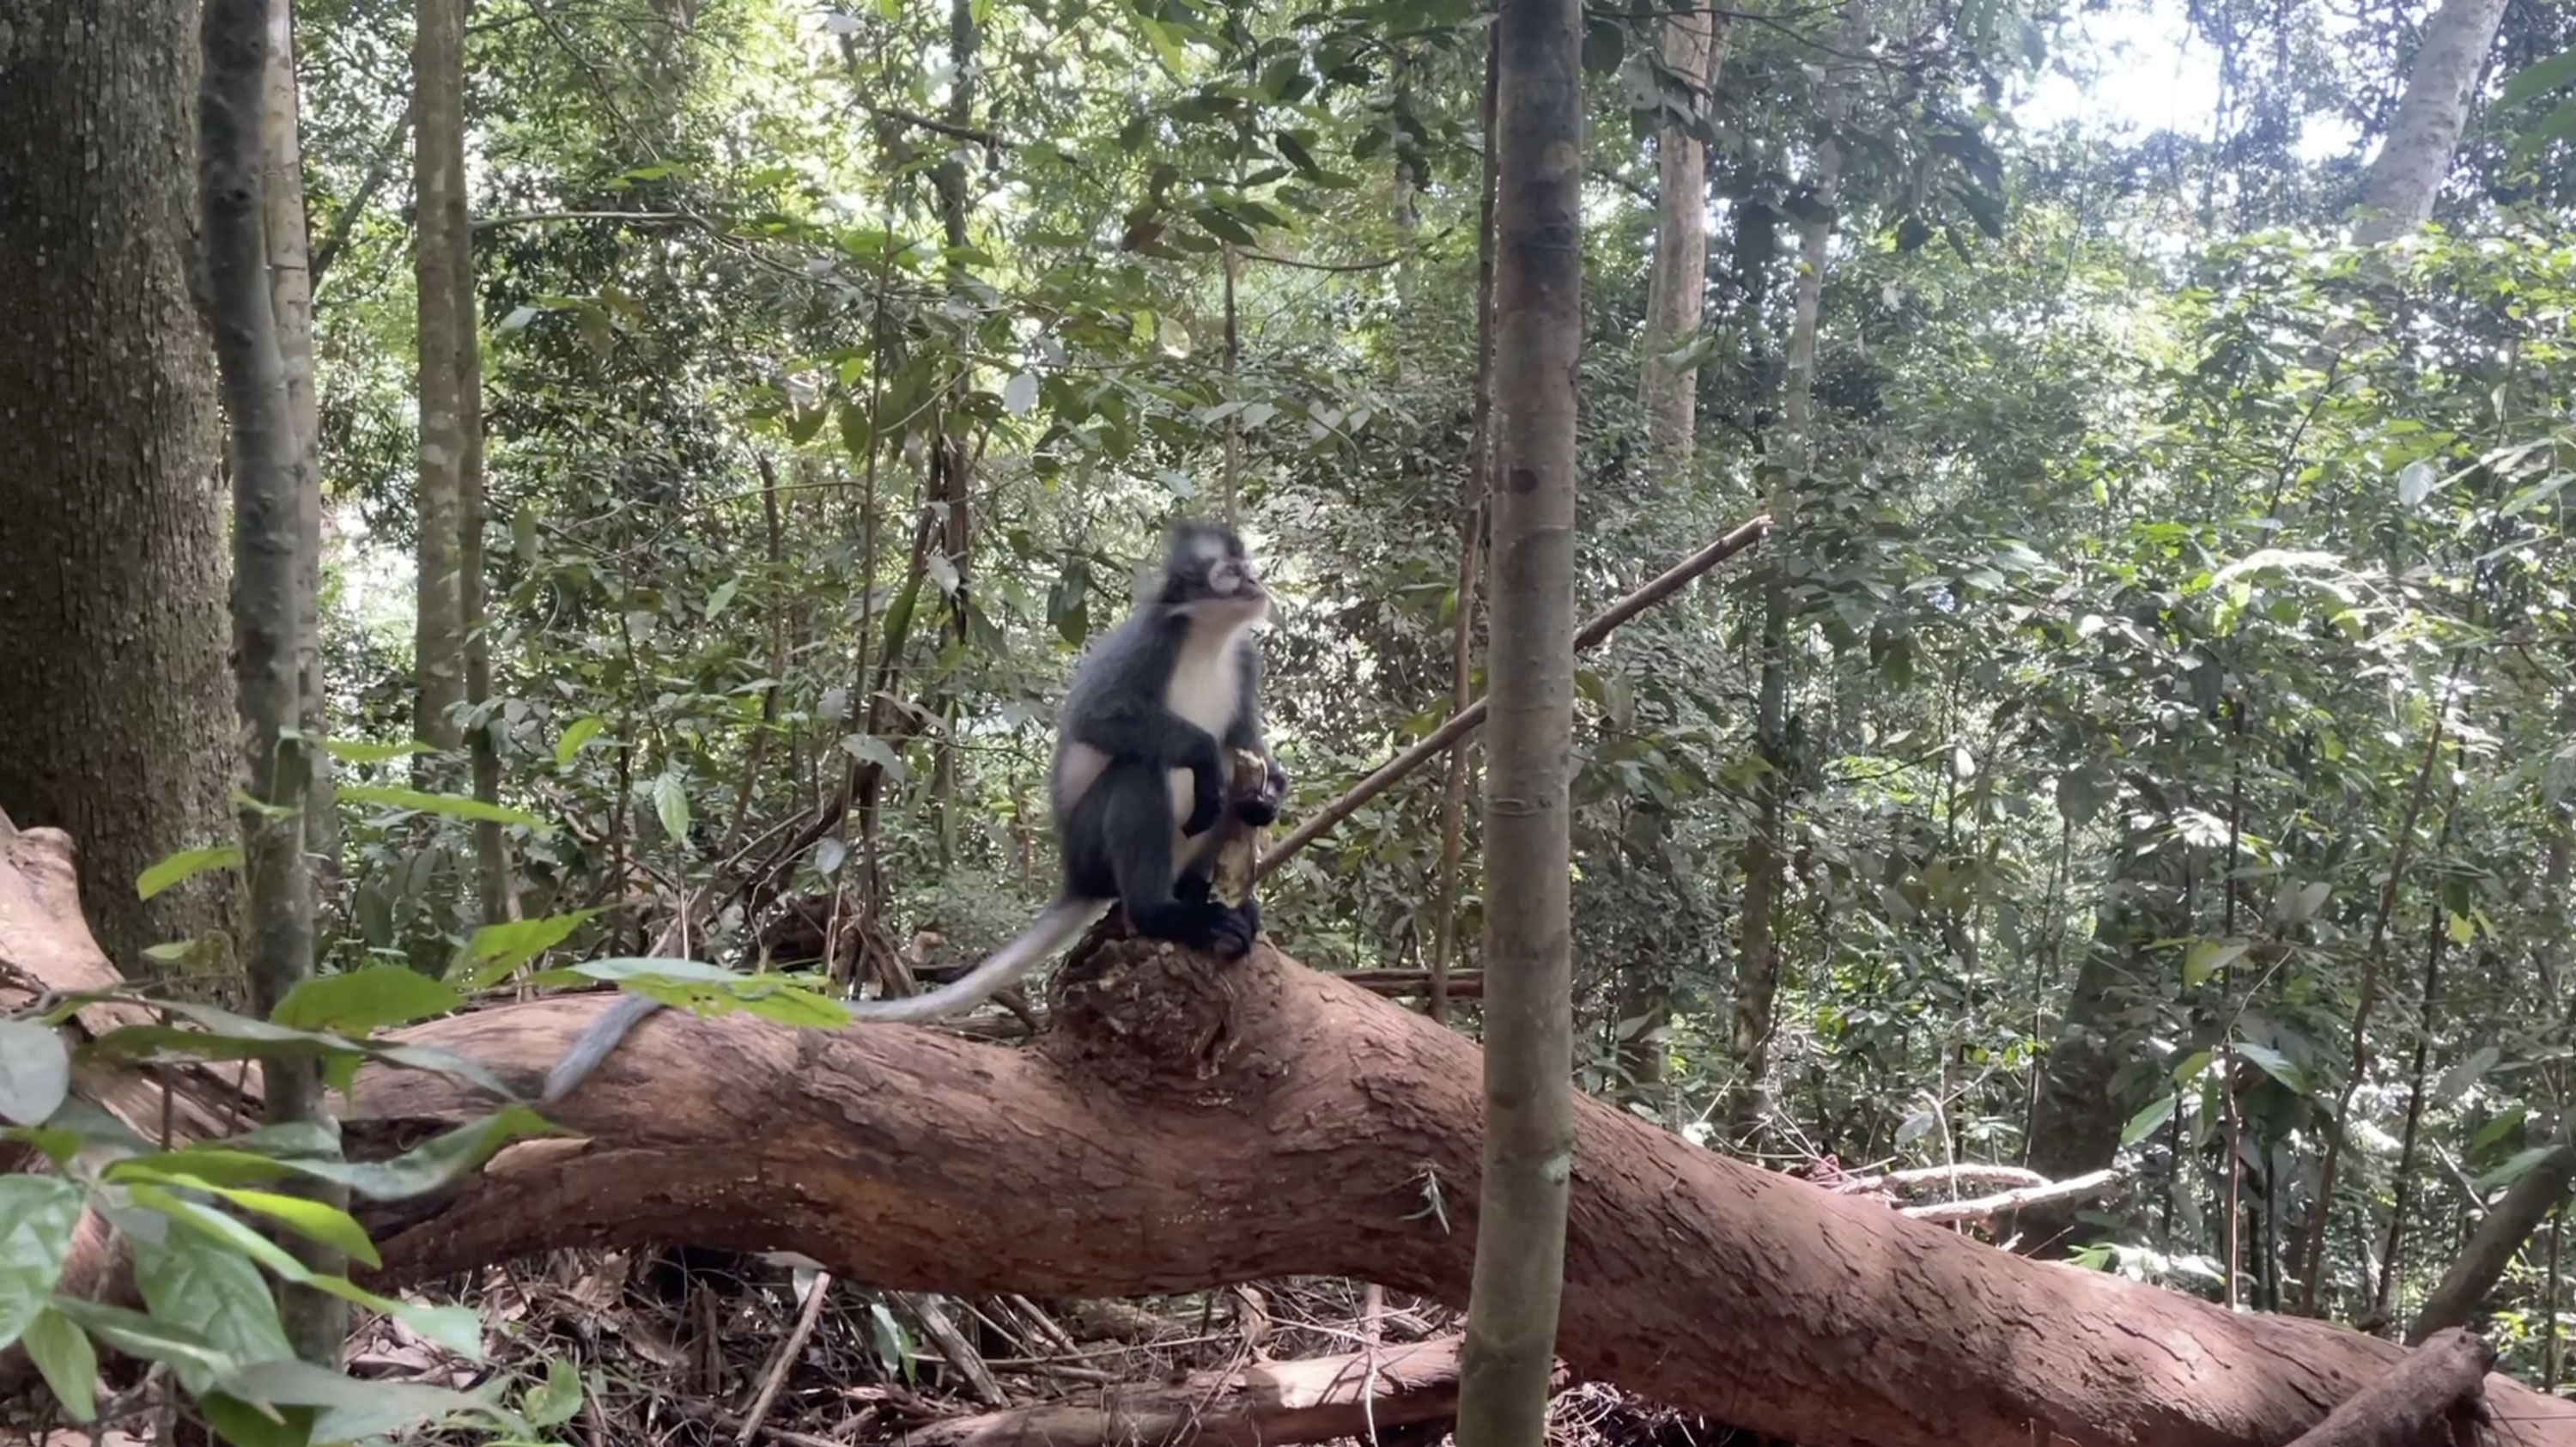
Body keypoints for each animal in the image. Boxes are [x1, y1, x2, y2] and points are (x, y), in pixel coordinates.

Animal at [536, 517, 1288, 1102]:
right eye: (1231, 573)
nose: (1257, 584)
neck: (1206, 640)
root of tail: (1078, 874)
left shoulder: (1243, 662)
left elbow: (1246, 749)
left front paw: (1268, 792)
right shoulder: (1146, 645)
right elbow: (1103, 722)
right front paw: (1206, 760)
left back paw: (1208, 893)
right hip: (1096, 842)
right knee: (1143, 773)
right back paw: (1166, 911)